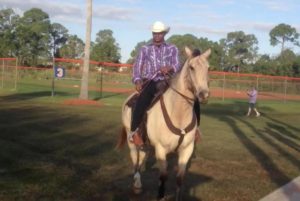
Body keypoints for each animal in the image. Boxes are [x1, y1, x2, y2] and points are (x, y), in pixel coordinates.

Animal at [117, 47, 211, 201]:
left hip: (145, 143)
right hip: (131, 140)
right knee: (135, 159)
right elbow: (163, 177)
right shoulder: (161, 149)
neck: (178, 115)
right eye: (191, 67)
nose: (204, 95)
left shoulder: (187, 149)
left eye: (208, 68)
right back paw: (136, 185)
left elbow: (179, 178)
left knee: (141, 156)